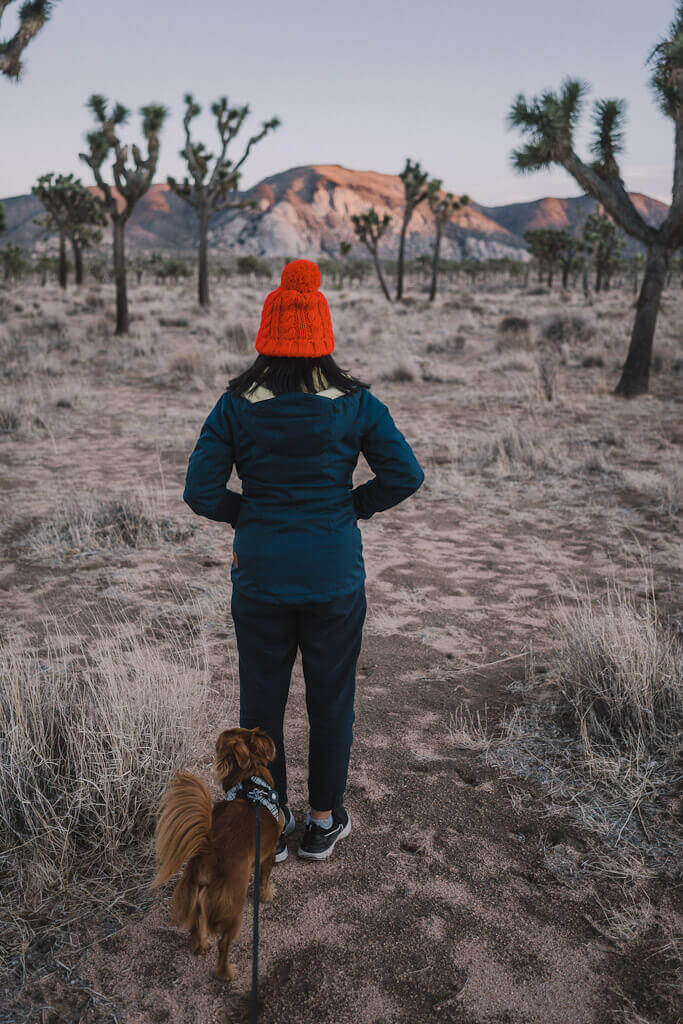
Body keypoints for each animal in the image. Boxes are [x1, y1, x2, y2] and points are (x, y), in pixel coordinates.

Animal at [153, 724, 282, 978]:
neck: (251, 781)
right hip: (233, 908)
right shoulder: (268, 854)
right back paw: (227, 974)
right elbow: (264, 880)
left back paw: (201, 946)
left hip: (196, 894)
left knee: (196, 925)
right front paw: (267, 896)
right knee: (224, 944)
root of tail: (209, 854)